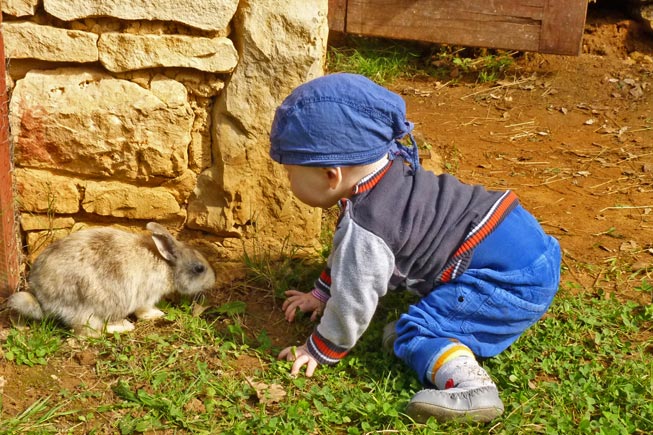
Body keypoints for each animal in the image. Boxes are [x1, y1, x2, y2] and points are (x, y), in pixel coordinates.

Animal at [6, 223, 215, 336]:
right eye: (199, 268)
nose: (213, 280)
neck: (167, 266)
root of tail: (42, 298)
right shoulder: (146, 296)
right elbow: (144, 310)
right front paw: (157, 314)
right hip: (92, 305)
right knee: (90, 331)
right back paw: (124, 327)